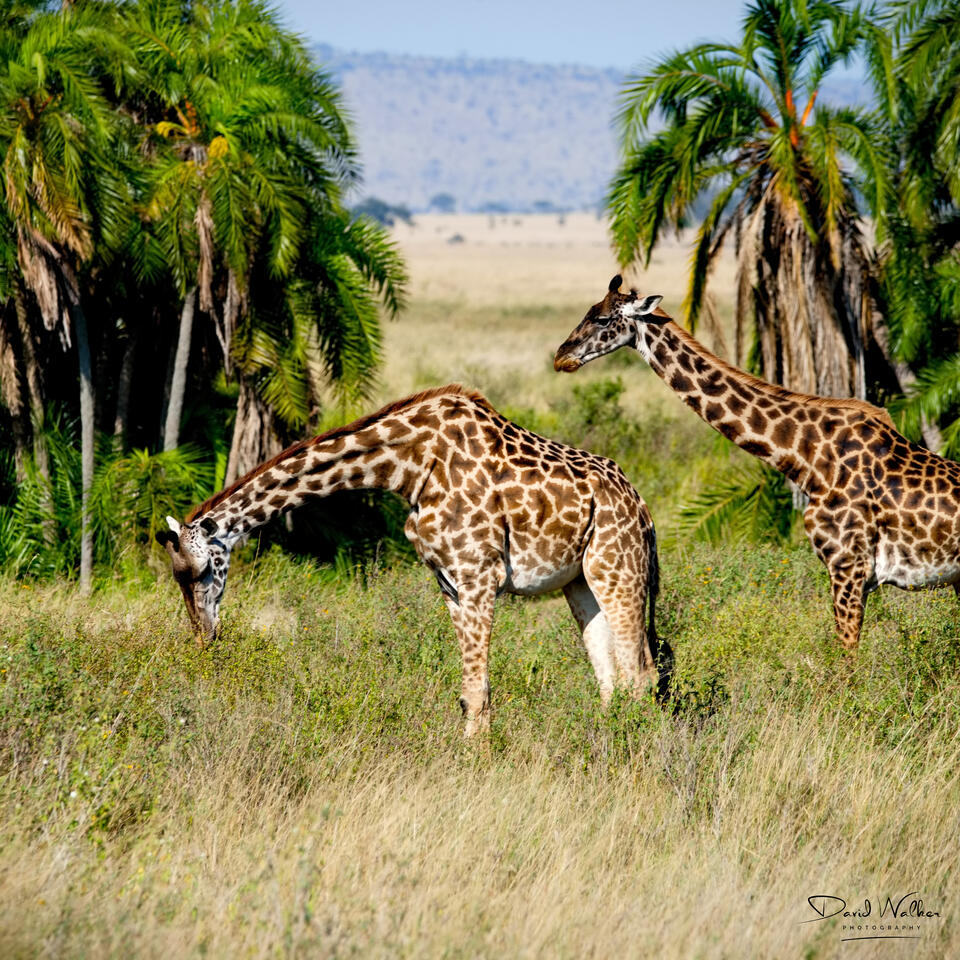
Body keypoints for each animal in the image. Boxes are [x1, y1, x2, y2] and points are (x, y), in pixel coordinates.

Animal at [156, 384, 670, 736]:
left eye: (200, 572)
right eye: (176, 579)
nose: (204, 639)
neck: (406, 466)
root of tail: (643, 510)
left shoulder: (479, 575)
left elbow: (477, 691)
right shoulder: (450, 583)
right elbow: (470, 693)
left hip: (618, 568)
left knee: (642, 673)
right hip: (580, 581)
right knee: (612, 676)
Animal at [554, 276, 960, 651]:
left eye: (603, 319)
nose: (561, 356)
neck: (807, 455)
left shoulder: (848, 565)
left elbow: (847, 660)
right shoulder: (851, 571)